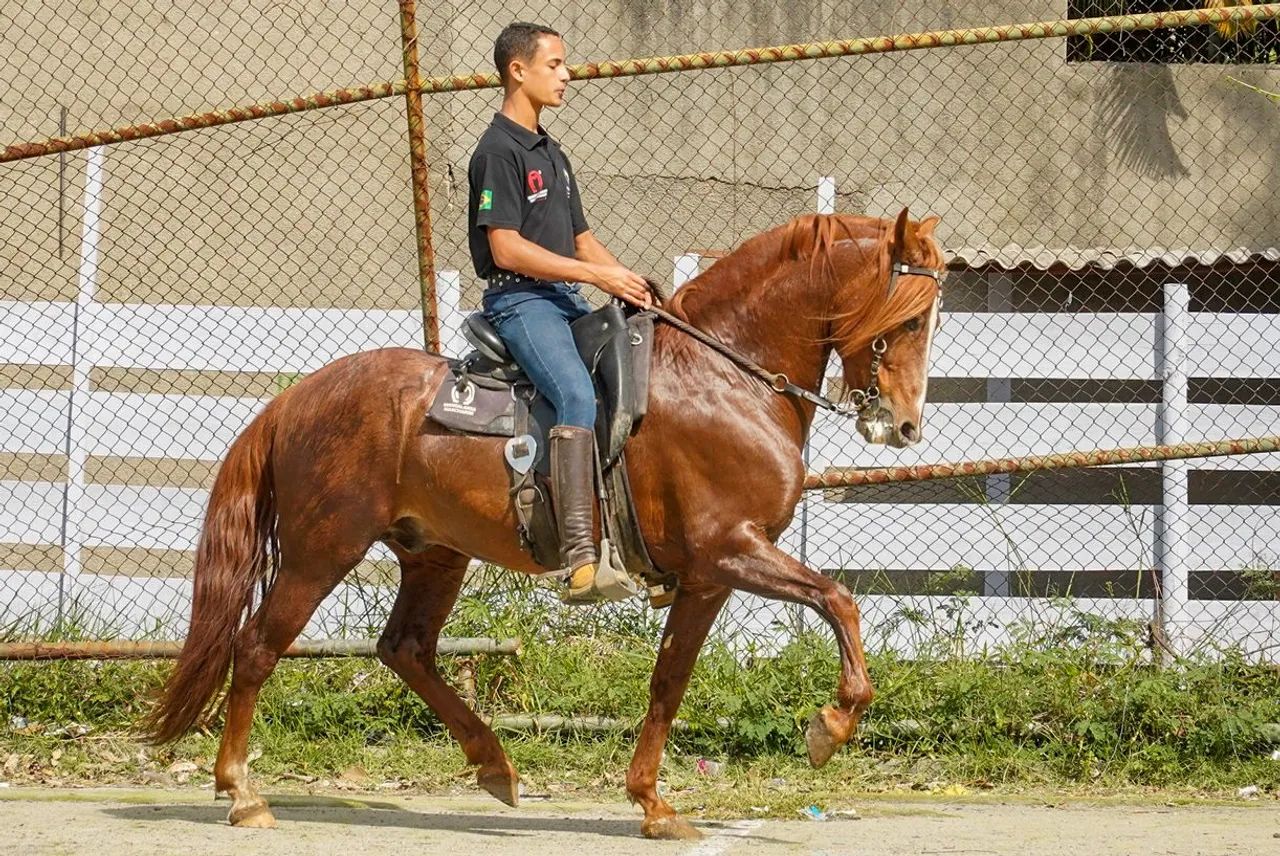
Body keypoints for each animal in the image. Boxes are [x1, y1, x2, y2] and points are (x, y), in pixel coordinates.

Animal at [144, 208, 945, 840]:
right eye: (908, 318)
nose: (905, 425)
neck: (725, 377)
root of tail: (298, 398)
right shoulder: (732, 552)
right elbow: (839, 600)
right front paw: (829, 728)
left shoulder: (707, 577)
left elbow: (670, 680)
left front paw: (653, 804)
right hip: (321, 550)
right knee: (257, 649)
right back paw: (242, 792)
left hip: (434, 555)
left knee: (405, 649)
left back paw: (493, 764)